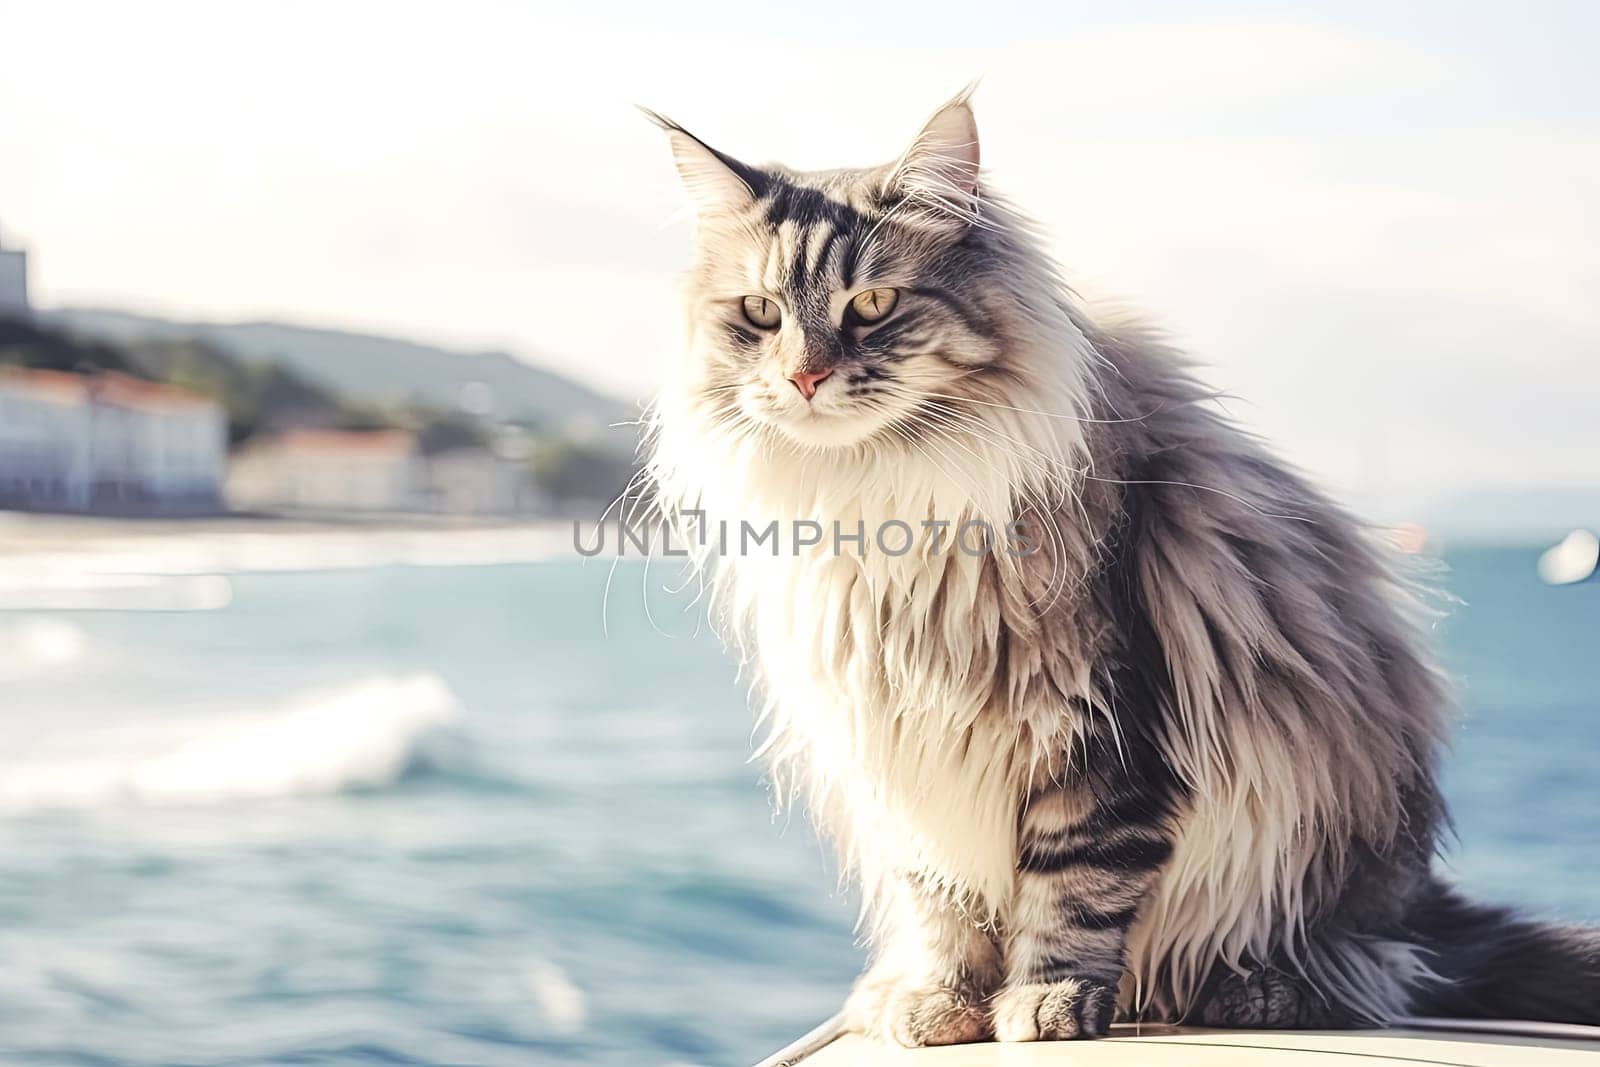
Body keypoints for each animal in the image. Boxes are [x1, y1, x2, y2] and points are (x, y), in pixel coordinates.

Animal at [640, 95, 1600, 1049]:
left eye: (873, 303)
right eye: (760, 312)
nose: (805, 376)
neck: (880, 496)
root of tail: (1420, 901)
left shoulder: (1101, 722)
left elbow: (1075, 886)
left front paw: (1047, 1003)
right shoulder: (904, 747)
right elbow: (942, 900)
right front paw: (940, 1003)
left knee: (1365, 964)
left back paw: (1258, 988)